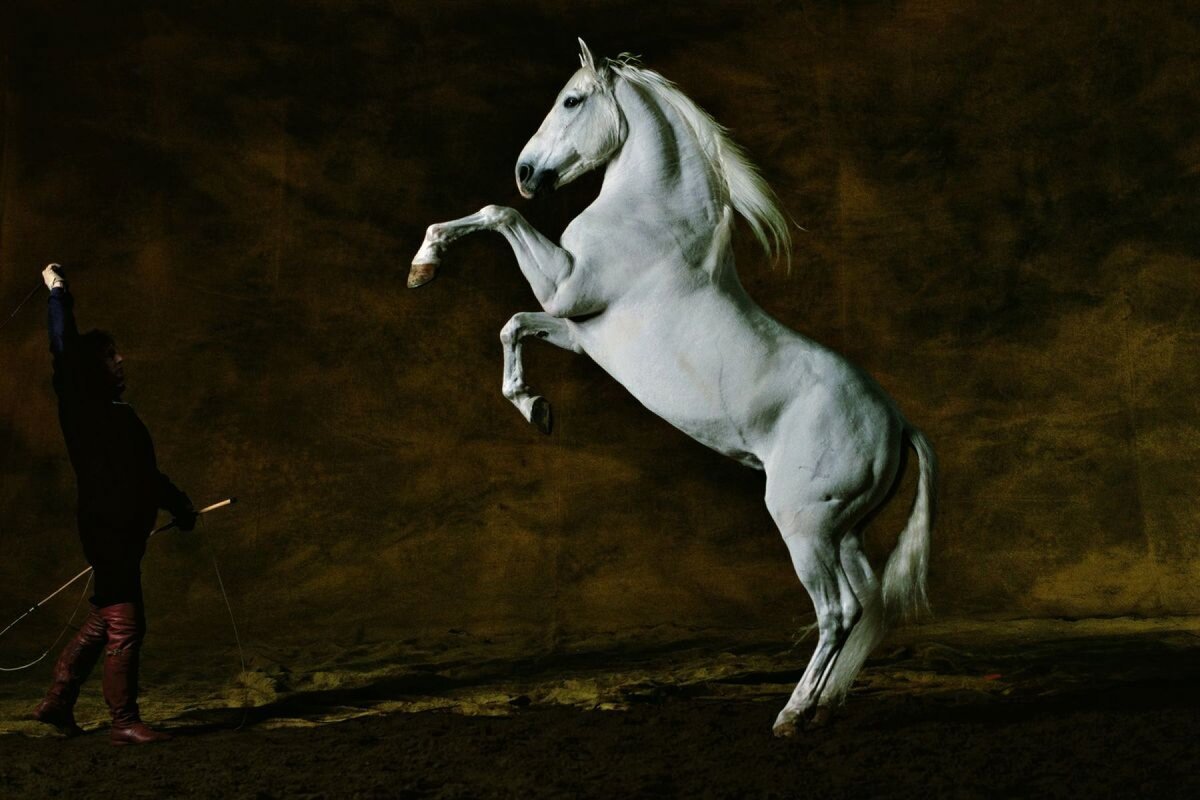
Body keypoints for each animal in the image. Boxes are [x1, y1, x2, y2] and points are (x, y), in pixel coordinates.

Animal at [409, 40, 937, 736]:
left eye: (571, 100)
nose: (526, 171)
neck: (651, 220)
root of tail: (898, 424)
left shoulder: (565, 288)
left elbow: (502, 217)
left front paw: (425, 262)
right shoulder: (577, 330)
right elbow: (513, 325)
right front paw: (534, 408)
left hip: (803, 526)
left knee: (837, 613)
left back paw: (792, 714)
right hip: (842, 532)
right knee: (864, 607)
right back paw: (821, 708)